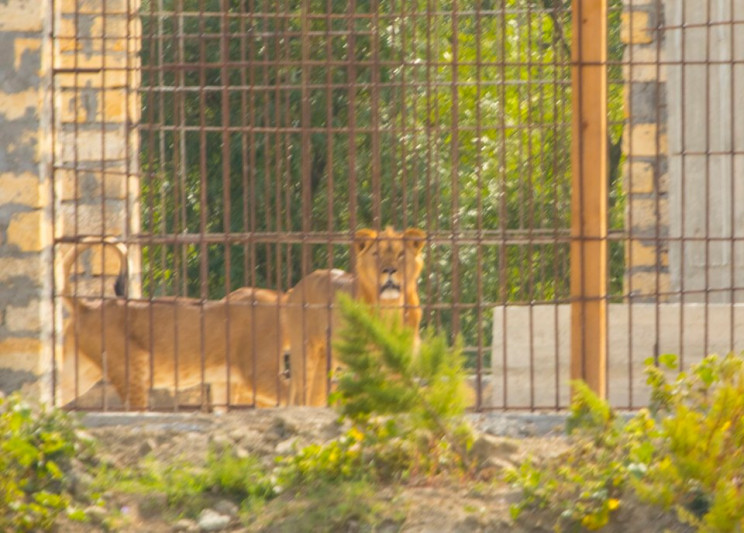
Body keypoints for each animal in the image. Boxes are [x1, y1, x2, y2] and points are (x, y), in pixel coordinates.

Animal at [58, 238, 290, 412]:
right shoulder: (257, 375)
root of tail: (88, 306)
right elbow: (296, 396)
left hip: (78, 373)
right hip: (132, 369)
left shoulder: (225, 384)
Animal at [284, 227, 424, 406]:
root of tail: (295, 288)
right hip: (304, 355)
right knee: (301, 397)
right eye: (376, 254)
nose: (389, 270)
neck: (390, 307)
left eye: (401, 254)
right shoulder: (363, 363)